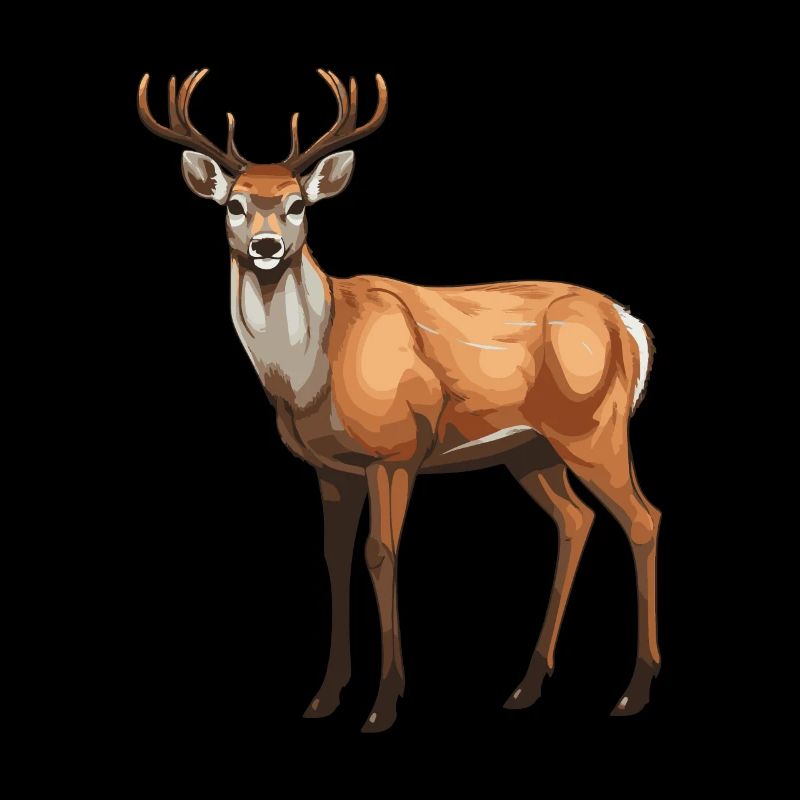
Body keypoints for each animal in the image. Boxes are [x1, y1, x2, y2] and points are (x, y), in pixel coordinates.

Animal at [138, 68, 662, 732]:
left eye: (297, 203)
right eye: (234, 203)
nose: (265, 245)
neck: (315, 369)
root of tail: (631, 325)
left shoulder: (397, 449)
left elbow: (381, 553)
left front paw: (383, 704)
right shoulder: (331, 468)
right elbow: (334, 557)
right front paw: (323, 697)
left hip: (594, 426)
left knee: (642, 518)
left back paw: (634, 690)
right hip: (531, 449)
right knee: (577, 519)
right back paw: (526, 686)